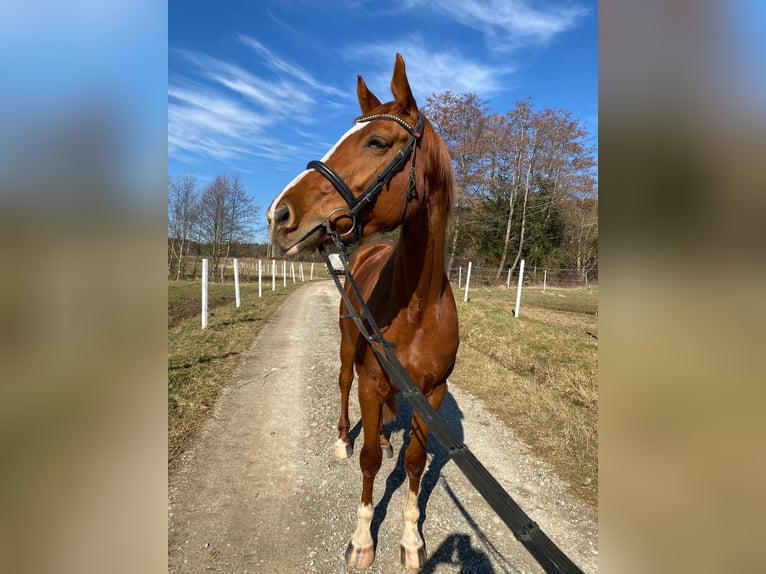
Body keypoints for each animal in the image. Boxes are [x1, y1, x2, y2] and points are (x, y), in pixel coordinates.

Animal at [268, 54, 460, 572]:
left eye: (377, 141)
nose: (279, 214)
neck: (417, 308)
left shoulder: (432, 394)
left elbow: (414, 463)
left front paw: (411, 540)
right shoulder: (372, 381)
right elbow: (370, 460)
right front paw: (361, 538)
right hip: (346, 348)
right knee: (342, 387)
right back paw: (341, 438)